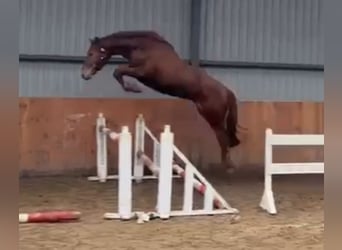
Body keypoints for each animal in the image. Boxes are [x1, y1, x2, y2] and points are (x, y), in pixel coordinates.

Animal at [80, 30, 242, 172]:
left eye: (91, 53)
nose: (84, 75)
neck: (143, 48)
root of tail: (226, 91)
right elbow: (119, 72)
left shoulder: (142, 72)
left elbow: (118, 71)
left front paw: (134, 89)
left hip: (214, 118)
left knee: (223, 138)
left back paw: (228, 166)